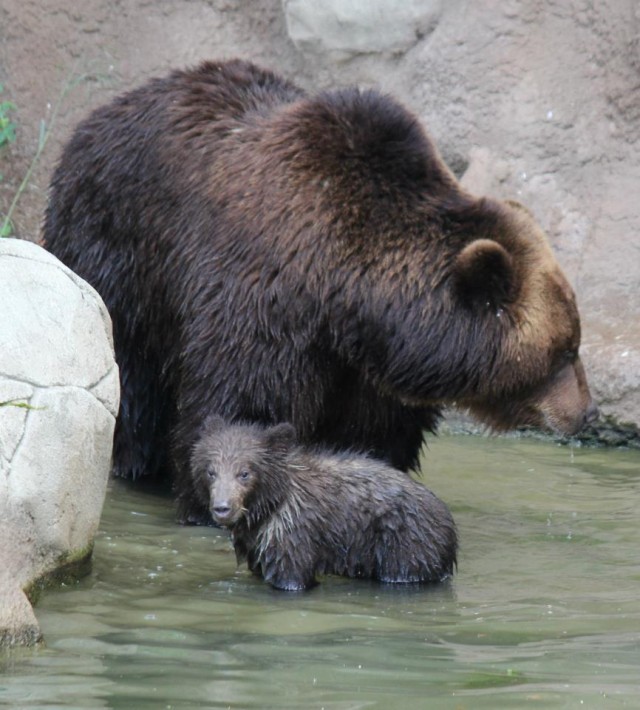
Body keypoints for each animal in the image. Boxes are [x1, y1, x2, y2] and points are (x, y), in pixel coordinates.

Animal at [43, 58, 596, 524]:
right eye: (564, 350)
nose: (585, 411)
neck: (349, 298)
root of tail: (99, 113)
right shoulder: (264, 302)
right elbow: (245, 400)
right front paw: (210, 499)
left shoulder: (369, 376)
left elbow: (375, 436)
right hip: (121, 250)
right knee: (133, 374)